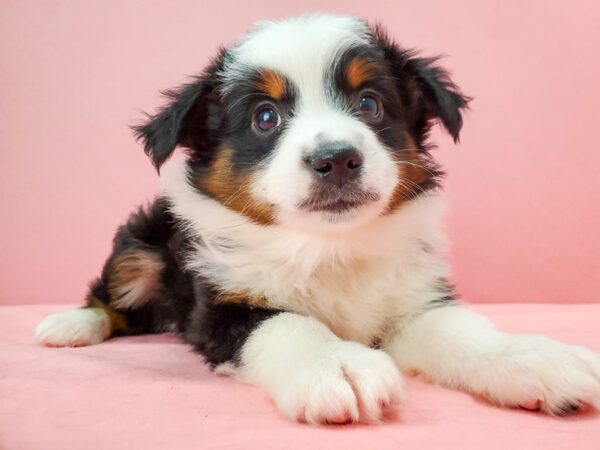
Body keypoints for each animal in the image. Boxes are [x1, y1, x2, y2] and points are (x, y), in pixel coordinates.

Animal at [35, 12, 596, 424]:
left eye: (370, 103)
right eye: (265, 117)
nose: (337, 159)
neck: (331, 248)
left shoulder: (413, 298)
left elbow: (462, 331)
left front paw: (534, 358)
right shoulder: (220, 304)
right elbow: (287, 322)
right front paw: (338, 364)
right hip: (141, 241)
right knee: (114, 297)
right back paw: (70, 324)